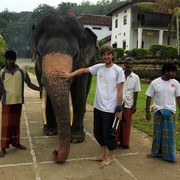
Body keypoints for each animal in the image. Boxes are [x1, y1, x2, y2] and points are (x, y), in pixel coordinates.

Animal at [29, 13, 97, 163]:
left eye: (76, 55)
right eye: (39, 54)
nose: (55, 152)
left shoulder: (84, 64)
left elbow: (78, 93)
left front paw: (76, 139)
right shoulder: (38, 70)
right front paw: (50, 132)